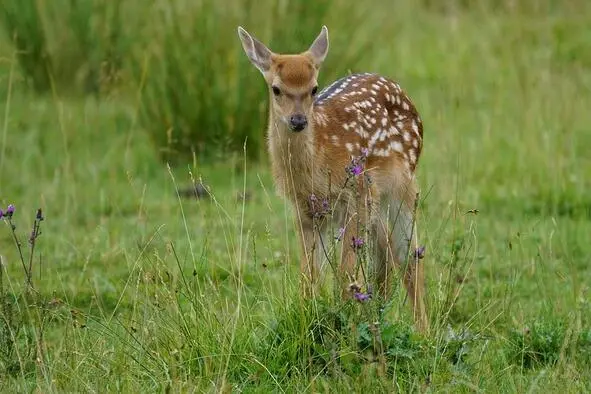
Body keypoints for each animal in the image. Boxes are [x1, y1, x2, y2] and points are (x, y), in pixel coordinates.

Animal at [238, 25, 428, 332]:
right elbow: (309, 278)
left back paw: (423, 332)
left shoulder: (357, 194)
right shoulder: (305, 208)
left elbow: (345, 276)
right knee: (386, 250)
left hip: (402, 184)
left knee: (410, 257)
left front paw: (344, 325)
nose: (298, 121)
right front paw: (310, 319)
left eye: (314, 88)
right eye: (276, 89)